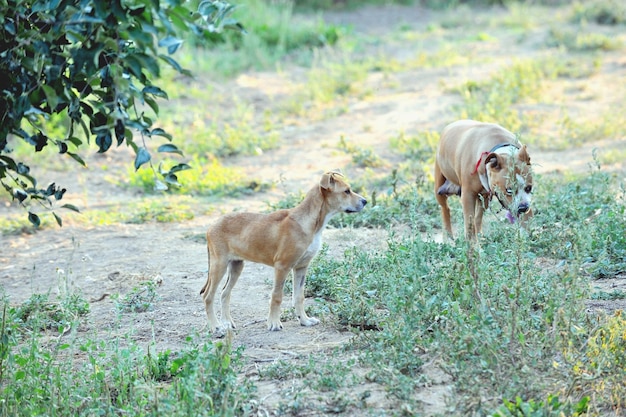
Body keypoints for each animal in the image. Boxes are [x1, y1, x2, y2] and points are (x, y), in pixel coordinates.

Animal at [200, 171, 366, 334]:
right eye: (346, 191)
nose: (365, 201)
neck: (311, 223)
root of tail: (211, 226)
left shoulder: (301, 267)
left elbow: (299, 297)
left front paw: (305, 320)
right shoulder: (282, 266)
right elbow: (277, 296)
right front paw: (274, 323)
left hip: (236, 266)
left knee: (224, 293)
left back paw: (226, 323)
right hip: (219, 265)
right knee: (208, 296)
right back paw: (216, 327)